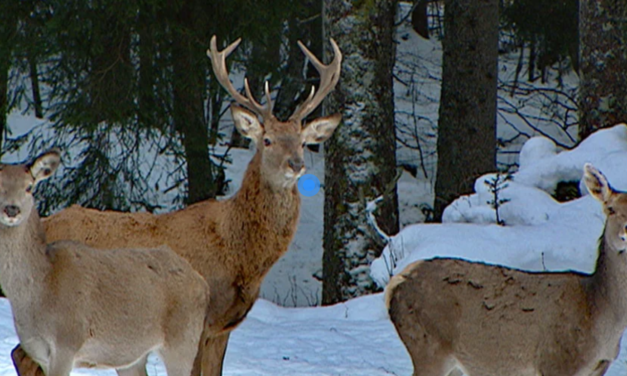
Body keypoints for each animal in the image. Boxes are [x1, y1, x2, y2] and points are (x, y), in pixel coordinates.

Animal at [0, 150, 211, 376]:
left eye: (29, 187)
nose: (11, 209)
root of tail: (202, 282)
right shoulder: (40, 354)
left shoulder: (67, 341)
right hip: (133, 356)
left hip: (183, 340)